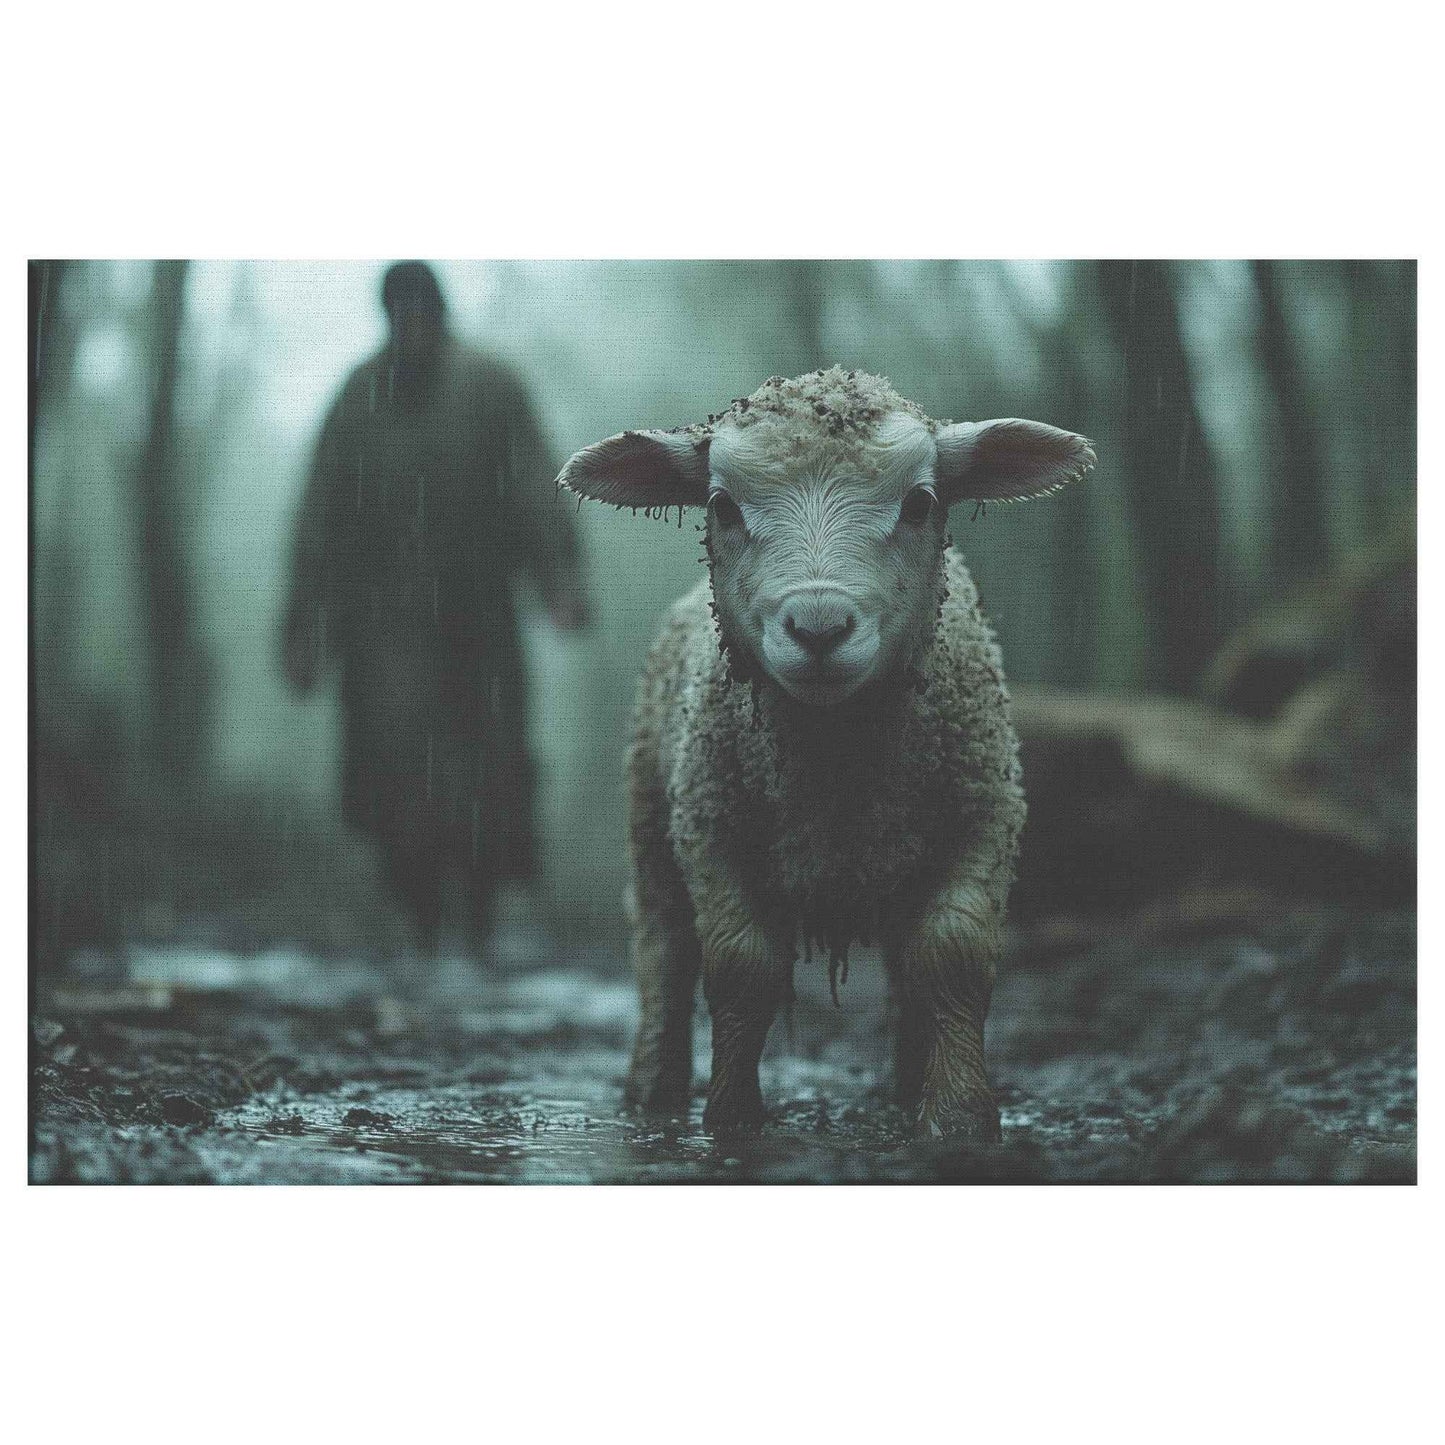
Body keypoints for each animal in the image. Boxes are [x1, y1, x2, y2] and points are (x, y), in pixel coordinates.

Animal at [559, 368, 1095, 1139]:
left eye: (920, 502)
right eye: (721, 506)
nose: (818, 628)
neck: (835, 760)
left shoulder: (982, 820)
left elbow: (950, 959)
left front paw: (958, 1117)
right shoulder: (712, 832)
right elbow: (740, 969)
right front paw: (730, 1119)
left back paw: (906, 1085)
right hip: (651, 827)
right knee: (663, 951)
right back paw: (653, 1090)